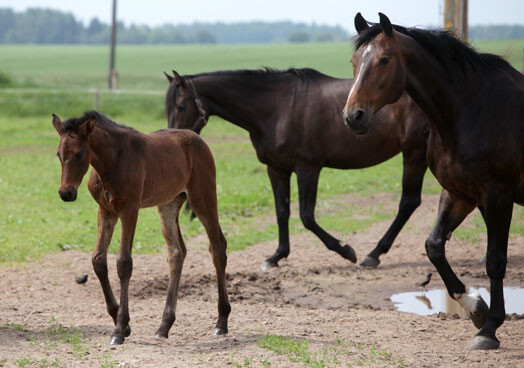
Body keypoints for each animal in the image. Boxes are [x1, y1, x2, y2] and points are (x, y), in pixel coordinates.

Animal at [52, 111, 230, 344]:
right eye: (58, 154)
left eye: (80, 154)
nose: (66, 193)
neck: (111, 161)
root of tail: (197, 138)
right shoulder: (106, 211)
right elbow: (98, 259)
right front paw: (122, 322)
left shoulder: (130, 209)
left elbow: (124, 263)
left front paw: (119, 329)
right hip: (168, 205)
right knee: (176, 253)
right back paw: (164, 326)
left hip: (203, 198)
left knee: (217, 247)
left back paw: (221, 322)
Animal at [164, 67, 430, 268]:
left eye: (180, 106)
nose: (173, 140)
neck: (279, 107)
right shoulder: (276, 169)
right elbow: (282, 212)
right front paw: (276, 256)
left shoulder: (308, 169)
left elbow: (306, 217)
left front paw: (345, 250)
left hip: (414, 153)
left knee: (408, 202)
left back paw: (373, 254)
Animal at [344, 12, 524, 350]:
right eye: (354, 61)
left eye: (384, 59)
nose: (353, 116)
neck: (470, 111)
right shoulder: (459, 194)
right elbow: (434, 246)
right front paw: (475, 307)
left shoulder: (497, 195)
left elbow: (495, 260)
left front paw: (489, 329)